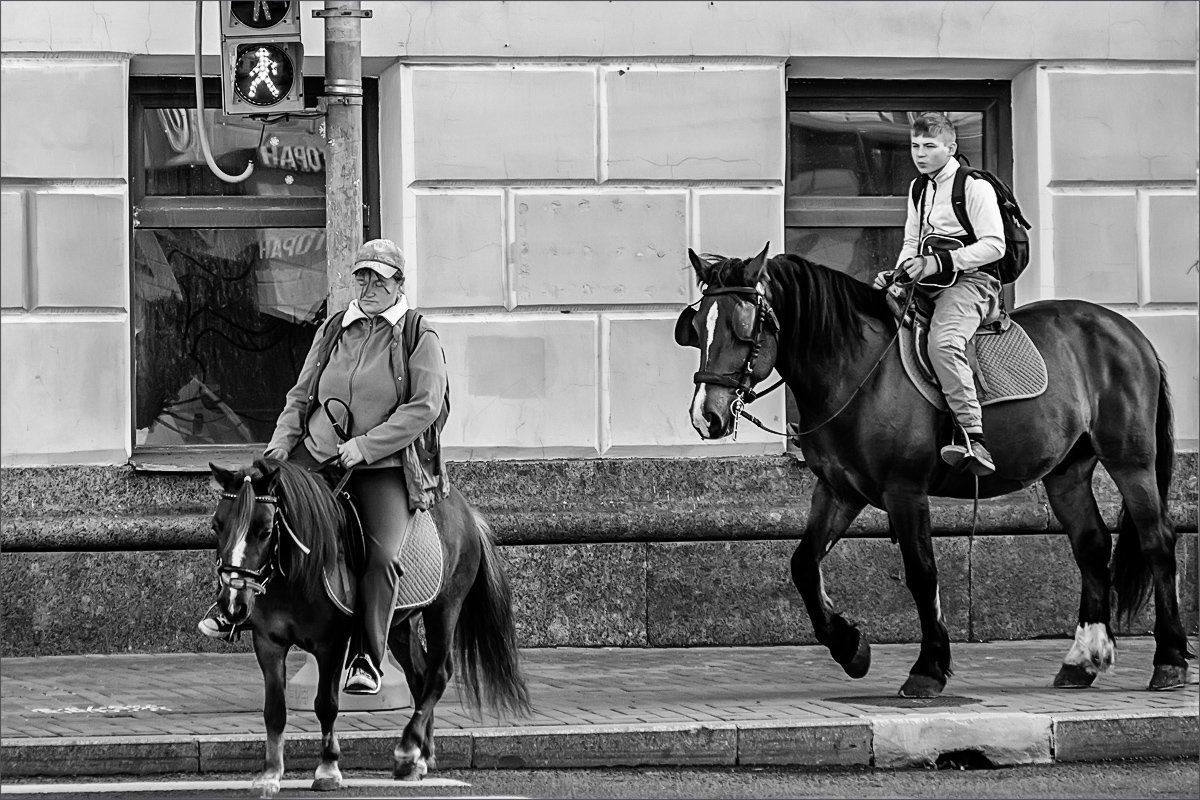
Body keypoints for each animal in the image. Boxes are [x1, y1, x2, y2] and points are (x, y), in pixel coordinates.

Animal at [206, 460, 530, 796]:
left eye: (266, 531)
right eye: (217, 526)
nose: (232, 604)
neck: (295, 574)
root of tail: (466, 511)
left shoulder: (331, 643)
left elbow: (326, 704)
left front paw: (328, 768)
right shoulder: (268, 642)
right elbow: (274, 710)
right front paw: (270, 774)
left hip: (445, 608)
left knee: (439, 673)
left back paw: (408, 749)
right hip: (400, 623)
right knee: (420, 674)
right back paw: (419, 757)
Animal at [676, 247, 1190, 695]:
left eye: (745, 325)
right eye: (698, 326)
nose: (706, 416)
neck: (855, 369)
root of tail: (1127, 330)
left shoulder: (905, 491)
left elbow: (922, 572)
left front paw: (929, 667)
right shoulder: (839, 490)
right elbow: (803, 564)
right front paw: (850, 647)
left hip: (1131, 460)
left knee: (1157, 540)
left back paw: (1170, 659)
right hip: (1067, 470)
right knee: (1091, 545)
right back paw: (1083, 659)